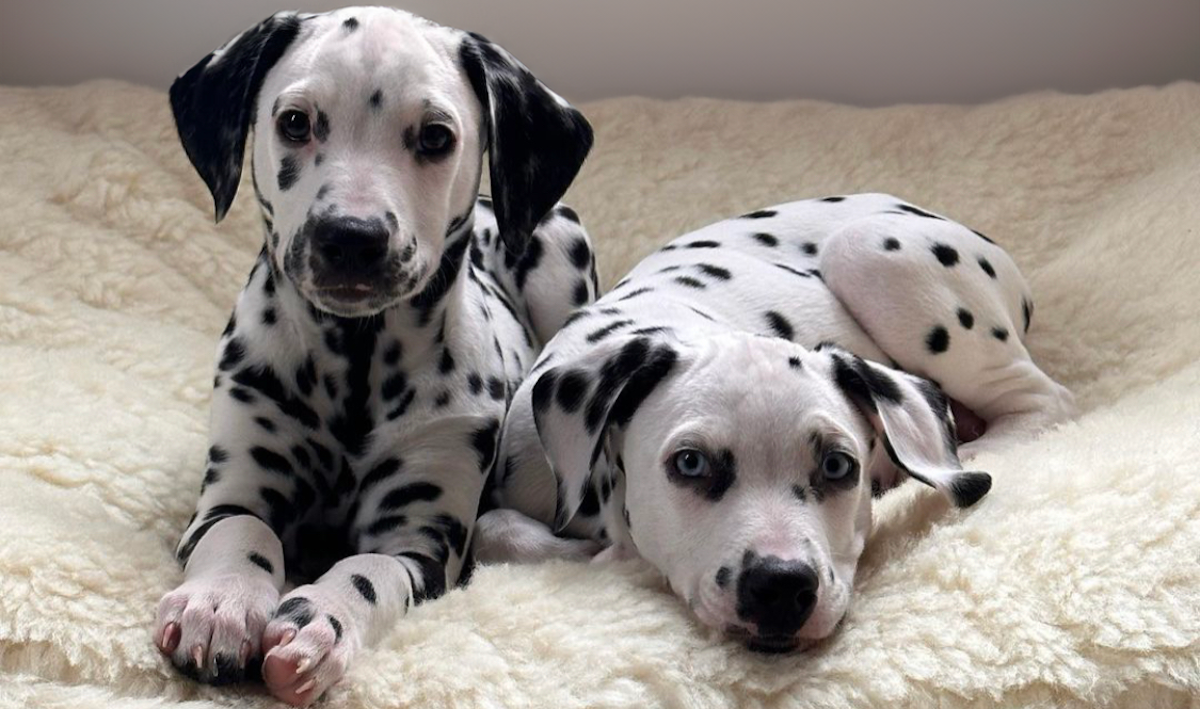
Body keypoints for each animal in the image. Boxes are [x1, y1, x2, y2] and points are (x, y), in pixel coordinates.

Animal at [154, 5, 595, 705]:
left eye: (436, 136)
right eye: (295, 122)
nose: (352, 237)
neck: (355, 363)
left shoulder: (420, 543)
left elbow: (367, 569)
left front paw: (322, 623)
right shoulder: (233, 490)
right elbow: (242, 530)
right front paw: (218, 604)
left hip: (559, 243)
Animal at [477, 193, 1080, 652]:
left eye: (838, 466)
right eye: (689, 464)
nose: (782, 586)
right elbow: (494, 527)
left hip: (869, 253)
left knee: (1045, 400)